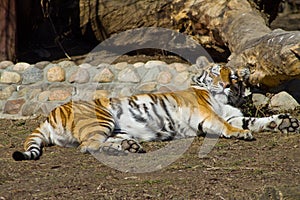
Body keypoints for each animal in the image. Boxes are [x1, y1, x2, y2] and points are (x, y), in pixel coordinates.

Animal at [12, 65, 300, 161]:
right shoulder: (209, 115)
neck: (226, 99)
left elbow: (254, 121)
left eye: (233, 76)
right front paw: (242, 135)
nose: (227, 84)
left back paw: (130, 147)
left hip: (114, 128)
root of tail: (48, 116)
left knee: (98, 143)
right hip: (102, 117)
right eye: (217, 73)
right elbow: (229, 127)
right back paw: (125, 150)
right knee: (88, 146)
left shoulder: (233, 114)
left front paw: (284, 123)